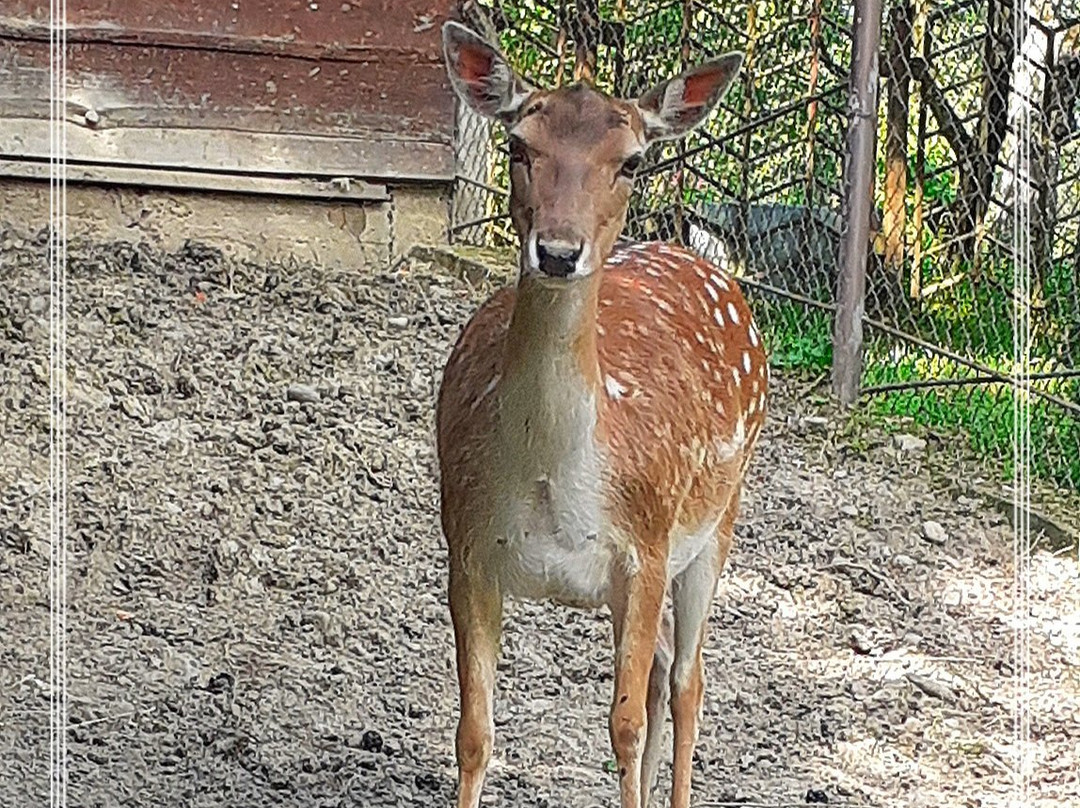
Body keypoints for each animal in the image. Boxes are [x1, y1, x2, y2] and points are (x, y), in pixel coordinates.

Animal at [432, 20, 768, 808]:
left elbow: (624, 725)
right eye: (519, 145)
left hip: (718, 519)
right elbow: (473, 731)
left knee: (687, 678)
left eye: (632, 161)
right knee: (662, 669)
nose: (557, 251)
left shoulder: (644, 547)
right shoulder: (467, 547)